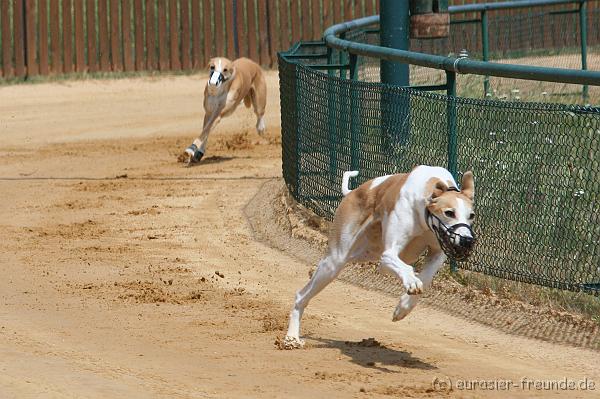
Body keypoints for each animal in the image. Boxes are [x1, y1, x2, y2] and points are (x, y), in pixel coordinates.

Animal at [284, 164, 476, 348]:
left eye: (471, 215)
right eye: (449, 212)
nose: (467, 241)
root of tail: (352, 192)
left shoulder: (437, 252)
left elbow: (426, 277)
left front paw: (403, 307)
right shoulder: (389, 254)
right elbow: (405, 268)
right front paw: (412, 282)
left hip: (364, 252)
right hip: (336, 261)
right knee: (302, 295)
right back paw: (292, 338)